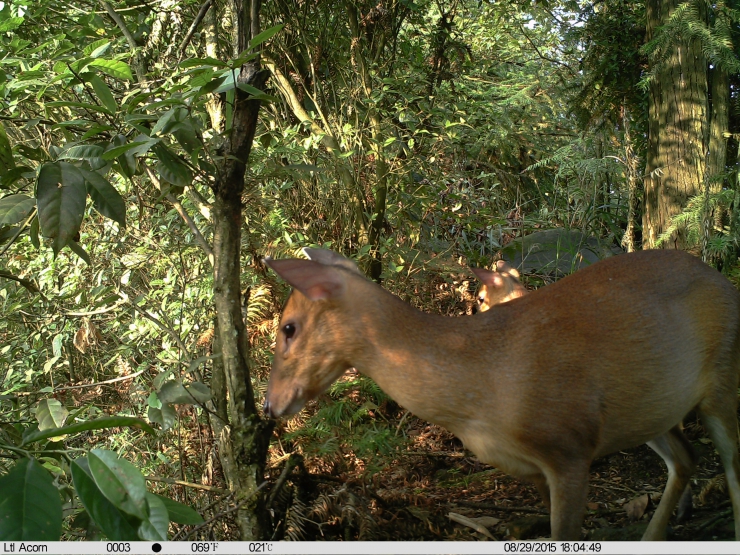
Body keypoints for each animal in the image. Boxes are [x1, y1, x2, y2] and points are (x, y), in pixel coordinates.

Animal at [260, 249, 740, 544]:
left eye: (289, 328)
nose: (270, 404)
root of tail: (722, 278)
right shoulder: (533, 467)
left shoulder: (569, 445)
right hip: (650, 408)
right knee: (686, 457)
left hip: (724, 380)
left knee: (730, 466)